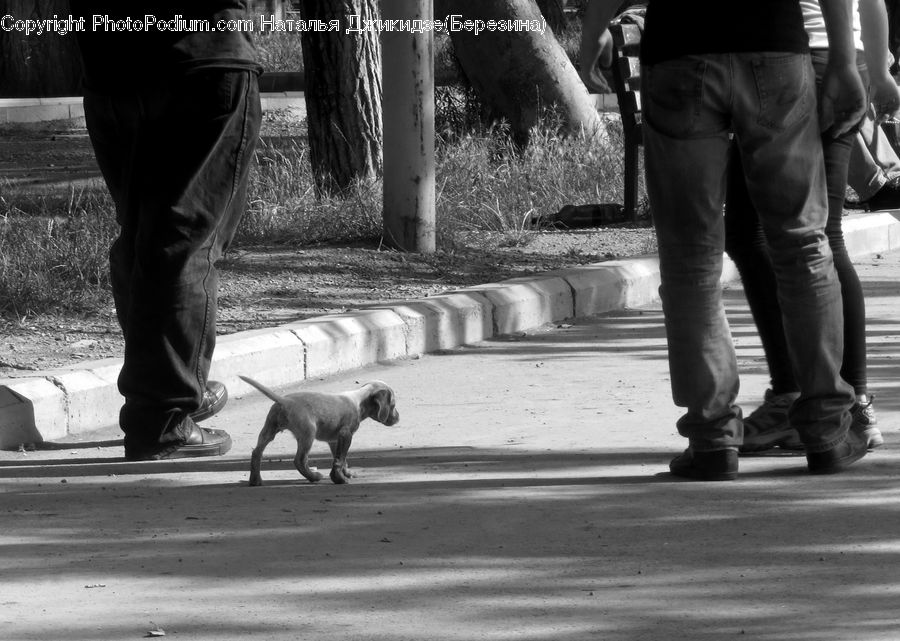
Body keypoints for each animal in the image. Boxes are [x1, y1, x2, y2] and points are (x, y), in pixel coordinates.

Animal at [239, 376, 398, 484]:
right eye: (393, 405)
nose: (398, 419)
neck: (359, 401)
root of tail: (286, 401)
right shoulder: (346, 434)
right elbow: (339, 459)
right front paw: (339, 478)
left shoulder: (334, 440)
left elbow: (342, 459)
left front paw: (346, 473)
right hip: (308, 434)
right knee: (300, 460)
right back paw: (313, 477)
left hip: (269, 430)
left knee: (256, 453)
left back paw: (255, 480)